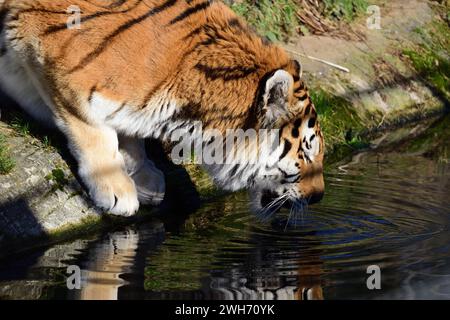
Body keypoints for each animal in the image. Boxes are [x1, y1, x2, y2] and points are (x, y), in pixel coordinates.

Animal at [0, 0, 326, 218]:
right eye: (306, 151)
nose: (319, 196)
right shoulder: (60, 71)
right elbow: (96, 136)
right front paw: (117, 189)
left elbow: (129, 134)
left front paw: (146, 179)